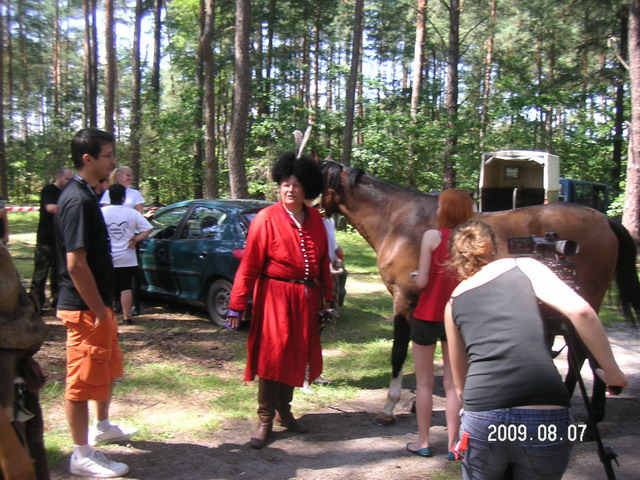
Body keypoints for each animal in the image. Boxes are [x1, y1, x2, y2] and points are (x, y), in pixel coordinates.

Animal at [321, 160, 640, 426]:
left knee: (586, 350)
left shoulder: (405, 297)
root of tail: (605, 220)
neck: (400, 220)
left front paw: (390, 407)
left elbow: (399, 350)